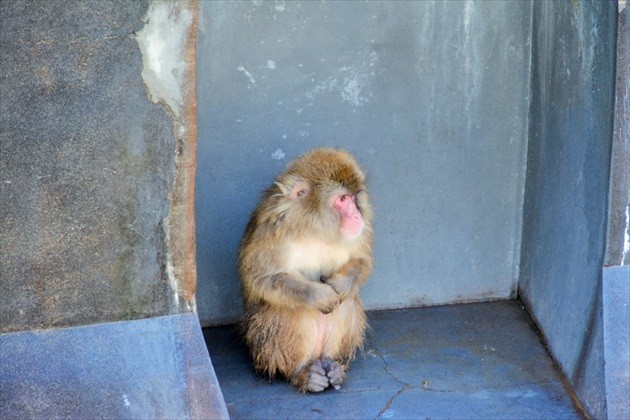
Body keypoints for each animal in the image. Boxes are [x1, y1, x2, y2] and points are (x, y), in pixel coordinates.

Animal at [239, 148, 372, 394]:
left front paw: (339, 285)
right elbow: (260, 280)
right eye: (342, 200)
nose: (357, 215)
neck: (314, 227)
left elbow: (362, 261)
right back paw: (301, 373)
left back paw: (331, 365)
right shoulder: (272, 229)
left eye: (352, 197)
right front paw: (319, 295)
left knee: (346, 302)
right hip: (264, 348)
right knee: (288, 308)